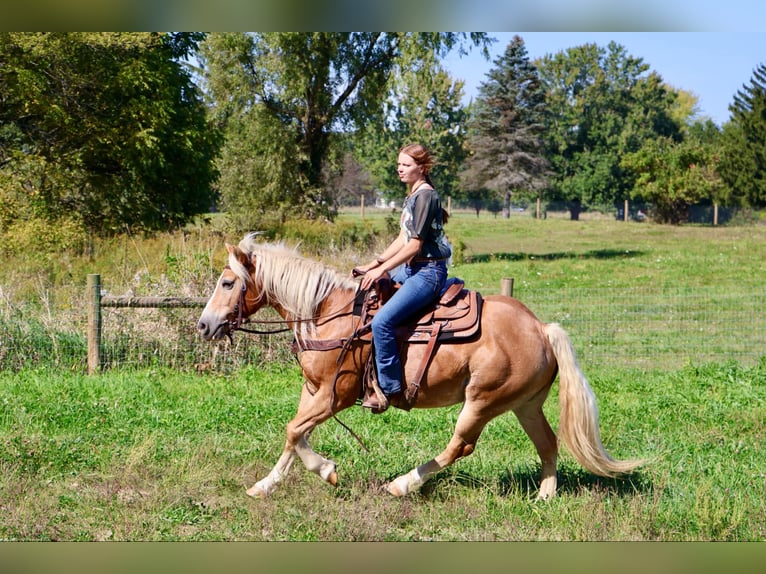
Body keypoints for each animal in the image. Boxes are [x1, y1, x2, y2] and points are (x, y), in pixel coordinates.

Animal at [196, 236, 640, 502]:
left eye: (228, 283)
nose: (203, 325)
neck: (325, 313)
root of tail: (541, 328)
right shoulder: (315, 391)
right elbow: (295, 435)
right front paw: (266, 485)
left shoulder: (336, 394)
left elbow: (293, 431)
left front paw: (327, 471)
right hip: (524, 404)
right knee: (547, 444)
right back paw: (544, 496)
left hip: (481, 401)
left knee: (461, 445)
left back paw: (402, 484)